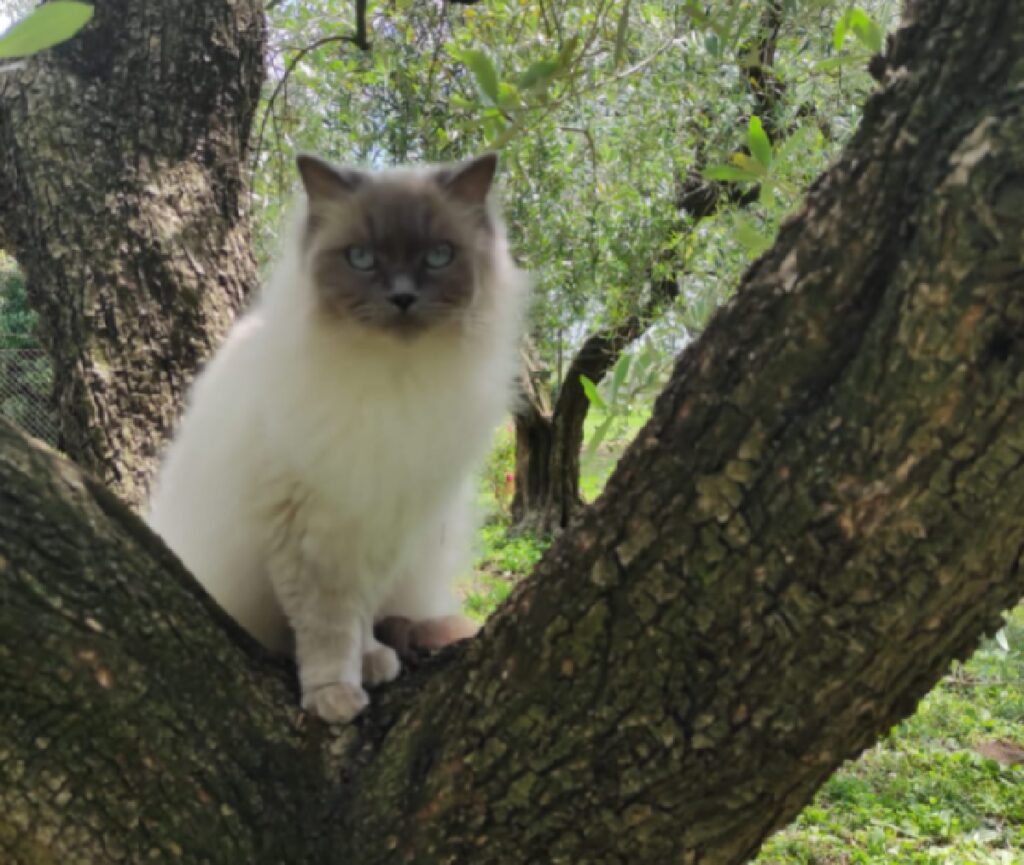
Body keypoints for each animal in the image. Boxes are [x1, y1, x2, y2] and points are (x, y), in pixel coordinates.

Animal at [146, 153, 528, 720]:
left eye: (438, 256)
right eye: (361, 258)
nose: (402, 298)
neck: (394, 383)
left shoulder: (383, 527)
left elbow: (360, 617)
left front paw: (368, 661)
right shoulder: (312, 533)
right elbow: (328, 629)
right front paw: (335, 695)